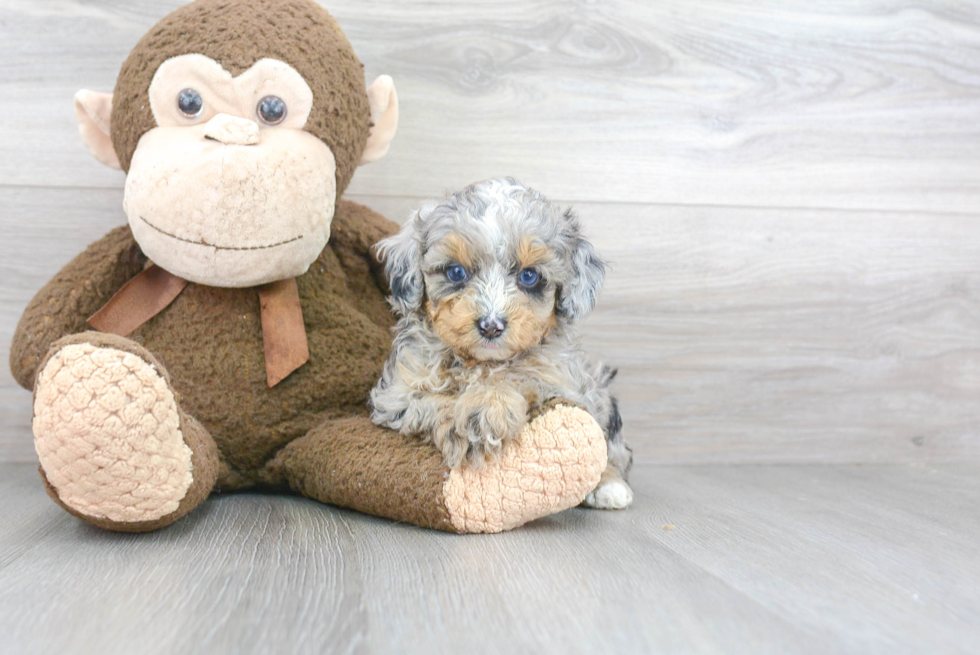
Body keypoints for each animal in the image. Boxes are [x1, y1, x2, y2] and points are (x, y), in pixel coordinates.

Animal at [370, 177, 636, 510]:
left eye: (529, 276)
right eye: (456, 272)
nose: (491, 326)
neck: (478, 361)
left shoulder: (562, 382)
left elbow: (519, 374)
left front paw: (487, 405)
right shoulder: (396, 395)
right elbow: (431, 401)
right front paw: (468, 425)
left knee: (613, 450)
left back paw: (610, 486)